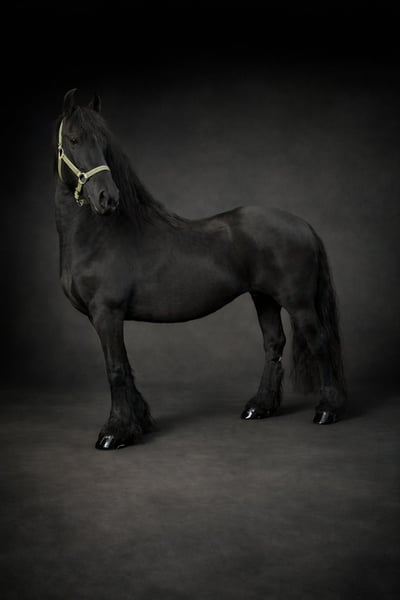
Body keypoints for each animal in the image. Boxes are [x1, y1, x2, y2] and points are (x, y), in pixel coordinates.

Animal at [54, 88, 347, 450]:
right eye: (74, 139)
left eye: (104, 143)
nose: (107, 198)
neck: (100, 235)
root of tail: (303, 225)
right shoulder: (109, 318)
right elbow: (126, 366)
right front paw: (140, 422)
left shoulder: (107, 314)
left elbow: (116, 368)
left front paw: (115, 432)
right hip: (263, 298)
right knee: (273, 344)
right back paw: (259, 407)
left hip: (300, 304)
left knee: (320, 343)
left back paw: (328, 410)